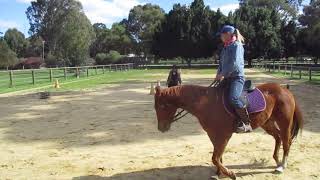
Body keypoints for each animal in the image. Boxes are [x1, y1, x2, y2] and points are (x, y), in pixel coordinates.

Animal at [154, 83, 304, 179]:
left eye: (162, 106)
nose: (161, 128)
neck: (207, 103)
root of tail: (285, 90)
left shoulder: (224, 135)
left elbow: (215, 157)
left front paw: (230, 174)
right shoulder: (213, 135)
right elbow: (218, 156)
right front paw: (219, 173)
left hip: (284, 123)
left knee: (286, 141)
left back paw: (282, 166)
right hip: (267, 123)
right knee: (278, 137)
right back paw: (277, 161)